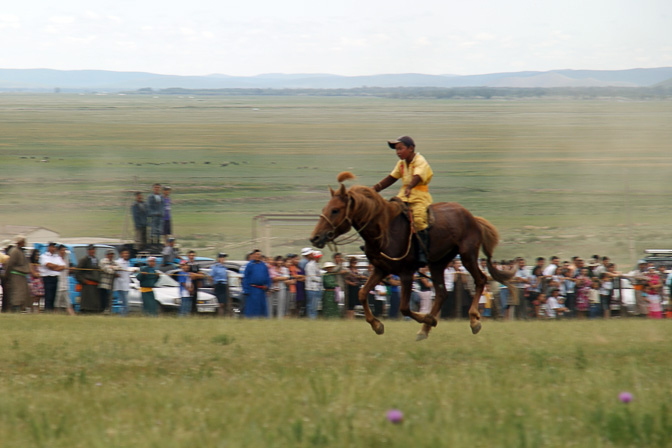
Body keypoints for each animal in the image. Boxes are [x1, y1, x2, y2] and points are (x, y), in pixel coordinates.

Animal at [310, 172, 516, 340]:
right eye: (325, 208)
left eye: (335, 210)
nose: (315, 237)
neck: (384, 231)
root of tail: (472, 218)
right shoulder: (381, 269)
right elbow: (361, 293)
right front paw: (377, 325)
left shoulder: (406, 273)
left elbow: (404, 307)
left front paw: (429, 319)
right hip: (437, 263)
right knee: (442, 293)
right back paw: (424, 330)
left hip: (467, 255)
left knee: (480, 280)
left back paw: (473, 320)